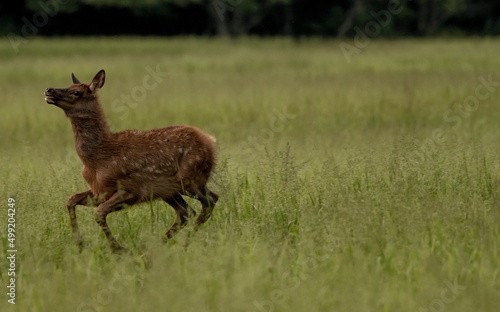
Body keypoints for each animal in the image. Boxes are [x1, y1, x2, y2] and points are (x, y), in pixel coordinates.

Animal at [44, 69, 219, 252]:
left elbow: (99, 213)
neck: (97, 159)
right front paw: (79, 243)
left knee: (210, 200)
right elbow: (71, 200)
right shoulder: (100, 191)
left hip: (190, 178)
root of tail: (210, 141)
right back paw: (158, 246)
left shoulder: (132, 189)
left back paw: (184, 243)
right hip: (168, 189)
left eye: (76, 92)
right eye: (69, 85)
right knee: (186, 212)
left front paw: (118, 249)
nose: (49, 89)